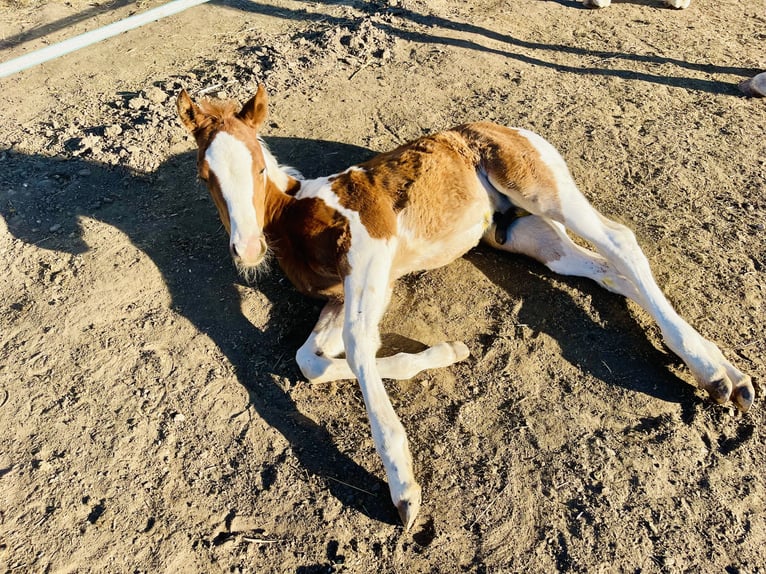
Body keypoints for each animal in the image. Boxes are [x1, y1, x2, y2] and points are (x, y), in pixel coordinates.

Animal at [176, 85, 753, 530]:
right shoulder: (341, 296)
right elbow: (310, 362)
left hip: (541, 190)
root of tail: (516, 130)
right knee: (608, 270)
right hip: (525, 234)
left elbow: (361, 348)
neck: (298, 215)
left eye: (256, 166)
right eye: (206, 176)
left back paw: (713, 372)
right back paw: (723, 370)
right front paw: (447, 354)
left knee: (621, 242)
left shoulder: (372, 252)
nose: (248, 250)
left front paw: (403, 486)